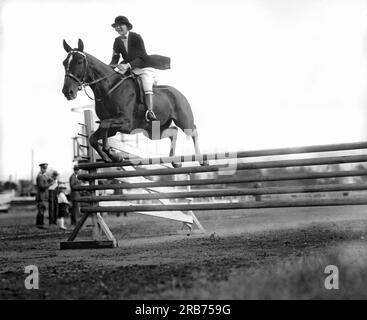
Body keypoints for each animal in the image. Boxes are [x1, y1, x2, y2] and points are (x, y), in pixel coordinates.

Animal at [63, 39, 207, 168]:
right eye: (64, 63)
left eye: (79, 61)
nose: (67, 92)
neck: (109, 88)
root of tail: (178, 93)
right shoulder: (114, 128)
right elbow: (93, 138)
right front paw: (110, 158)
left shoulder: (126, 122)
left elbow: (105, 124)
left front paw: (114, 154)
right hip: (153, 130)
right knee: (173, 132)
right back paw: (175, 161)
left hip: (184, 120)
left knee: (193, 132)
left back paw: (202, 160)